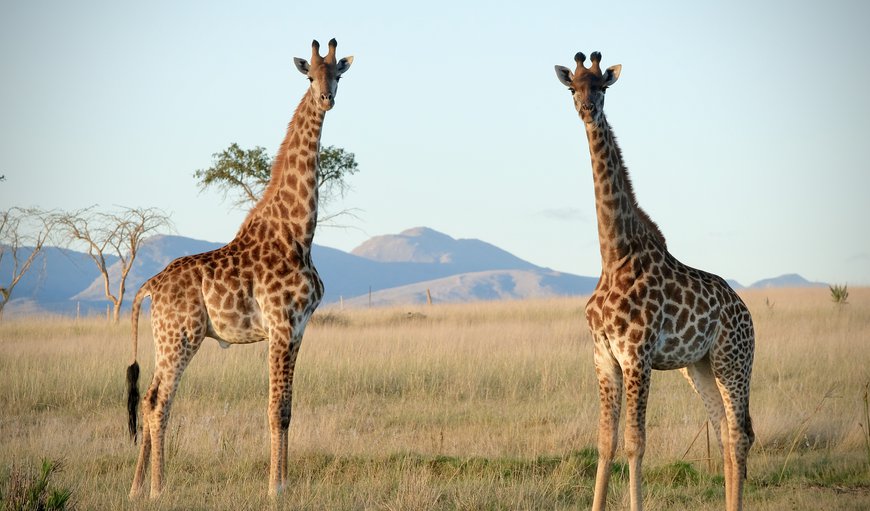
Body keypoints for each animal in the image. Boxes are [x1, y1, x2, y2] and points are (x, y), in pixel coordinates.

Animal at [123, 39, 354, 500]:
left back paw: (136, 489)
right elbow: (274, 409)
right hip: (182, 337)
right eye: (309, 76)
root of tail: (149, 286)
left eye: (337, 74)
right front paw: (275, 489)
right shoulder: (281, 325)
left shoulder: (298, 329)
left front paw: (285, 483)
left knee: (149, 395)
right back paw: (158, 490)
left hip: (165, 338)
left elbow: (288, 409)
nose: (326, 99)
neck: (298, 233)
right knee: (159, 402)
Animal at [560, 50, 756, 510]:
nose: (586, 109)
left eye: (602, 86)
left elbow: (635, 443)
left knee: (740, 434)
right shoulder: (603, 356)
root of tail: (746, 312)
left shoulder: (637, 355)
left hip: (734, 360)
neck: (613, 255)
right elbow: (605, 442)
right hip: (699, 366)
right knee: (724, 432)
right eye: (572, 86)